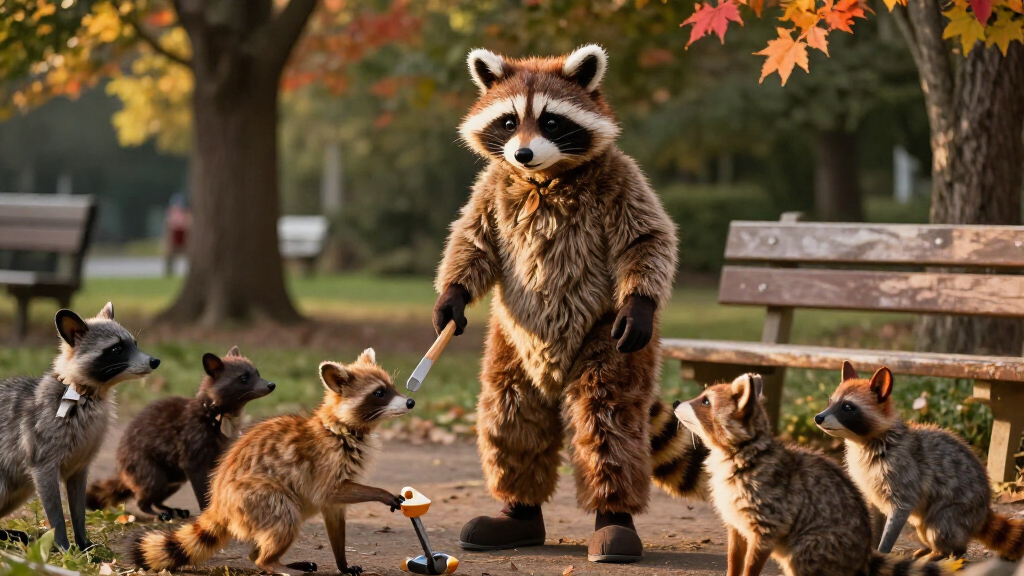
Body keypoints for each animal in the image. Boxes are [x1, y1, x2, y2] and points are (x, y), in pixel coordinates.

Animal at [0, 303, 160, 551]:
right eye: (116, 349)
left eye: (135, 343)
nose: (155, 361)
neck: (83, 394)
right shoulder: (42, 455)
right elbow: (55, 511)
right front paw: (62, 544)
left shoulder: (81, 462)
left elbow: (77, 508)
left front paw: (82, 541)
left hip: (16, 490)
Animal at [87, 346, 275, 520]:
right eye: (243, 377)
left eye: (258, 373)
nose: (271, 385)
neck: (217, 415)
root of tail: (122, 471)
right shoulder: (192, 453)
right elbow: (202, 489)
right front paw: (206, 511)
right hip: (149, 470)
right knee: (143, 499)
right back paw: (155, 514)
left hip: (174, 480)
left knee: (157, 499)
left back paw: (170, 509)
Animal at [132, 349, 412, 576]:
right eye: (379, 393)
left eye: (391, 386)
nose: (411, 402)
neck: (340, 427)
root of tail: (219, 502)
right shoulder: (325, 462)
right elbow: (329, 492)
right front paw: (380, 493)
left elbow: (334, 513)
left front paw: (342, 562)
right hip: (256, 496)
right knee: (284, 515)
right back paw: (269, 562)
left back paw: (264, 557)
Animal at [675, 373, 948, 576]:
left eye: (705, 402)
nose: (676, 402)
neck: (737, 453)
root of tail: (863, 556)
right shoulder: (735, 517)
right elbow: (735, 553)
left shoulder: (769, 517)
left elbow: (753, 561)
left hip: (816, 545)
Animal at [816, 362, 1024, 561]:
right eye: (830, 402)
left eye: (847, 407)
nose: (818, 417)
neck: (863, 442)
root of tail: (983, 513)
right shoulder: (871, 487)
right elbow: (875, 514)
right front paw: (873, 549)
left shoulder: (902, 471)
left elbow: (901, 509)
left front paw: (883, 551)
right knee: (924, 529)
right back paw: (931, 549)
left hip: (960, 510)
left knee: (940, 527)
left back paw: (946, 552)